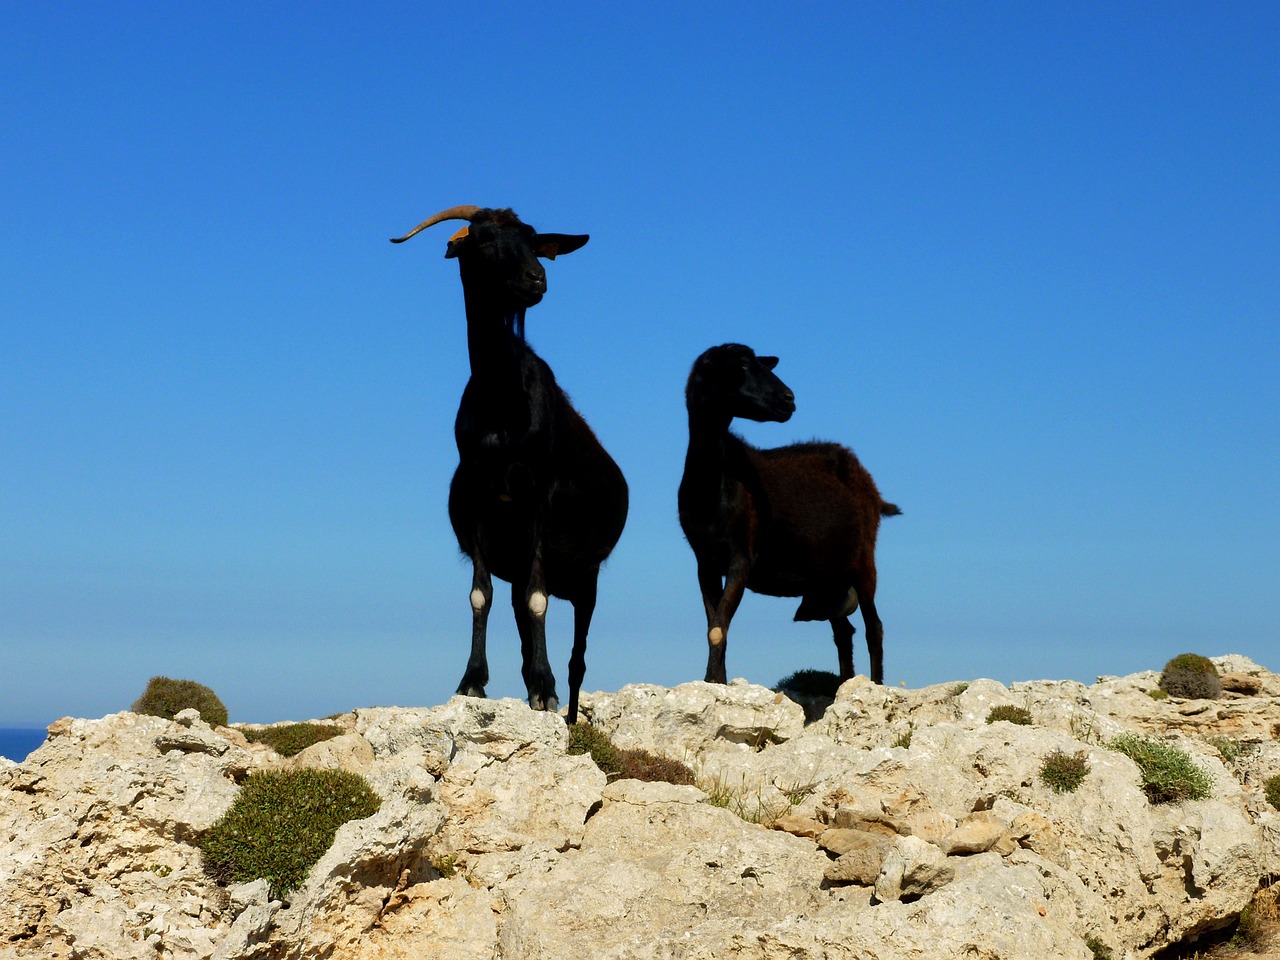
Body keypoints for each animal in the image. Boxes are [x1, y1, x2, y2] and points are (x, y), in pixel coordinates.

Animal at [391, 207, 627, 727]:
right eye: (482, 240)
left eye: (534, 243)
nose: (537, 279)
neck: (502, 405)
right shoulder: (480, 494)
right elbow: (481, 595)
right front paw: (472, 681)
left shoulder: (538, 493)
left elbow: (539, 599)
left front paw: (545, 691)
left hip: (588, 577)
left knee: (578, 655)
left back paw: (566, 708)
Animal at [680, 345, 901, 691]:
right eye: (742, 365)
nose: (789, 399)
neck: (712, 484)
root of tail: (873, 489)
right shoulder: (705, 561)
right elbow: (716, 626)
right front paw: (715, 682)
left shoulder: (741, 555)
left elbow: (718, 627)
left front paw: (712, 682)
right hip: (829, 579)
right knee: (844, 632)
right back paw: (844, 685)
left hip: (864, 560)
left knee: (873, 627)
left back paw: (874, 685)